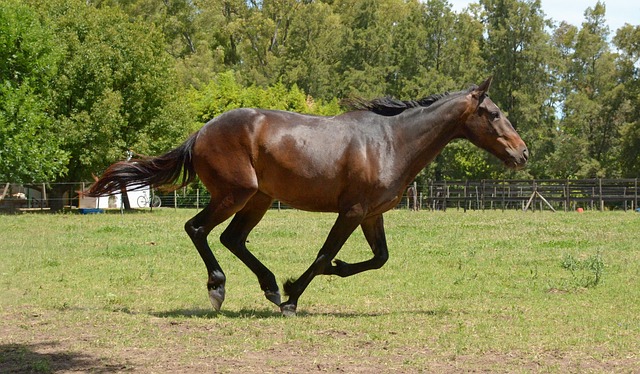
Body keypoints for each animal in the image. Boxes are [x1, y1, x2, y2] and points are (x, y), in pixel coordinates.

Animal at [87, 77, 528, 318]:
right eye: (493, 113)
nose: (522, 153)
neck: (391, 142)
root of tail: (201, 132)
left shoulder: (373, 214)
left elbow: (379, 258)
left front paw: (322, 274)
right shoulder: (351, 212)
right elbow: (322, 255)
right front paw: (293, 296)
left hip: (259, 199)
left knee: (232, 238)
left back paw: (268, 286)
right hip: (236, 193)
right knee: (197, 228)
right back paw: (219, 289)